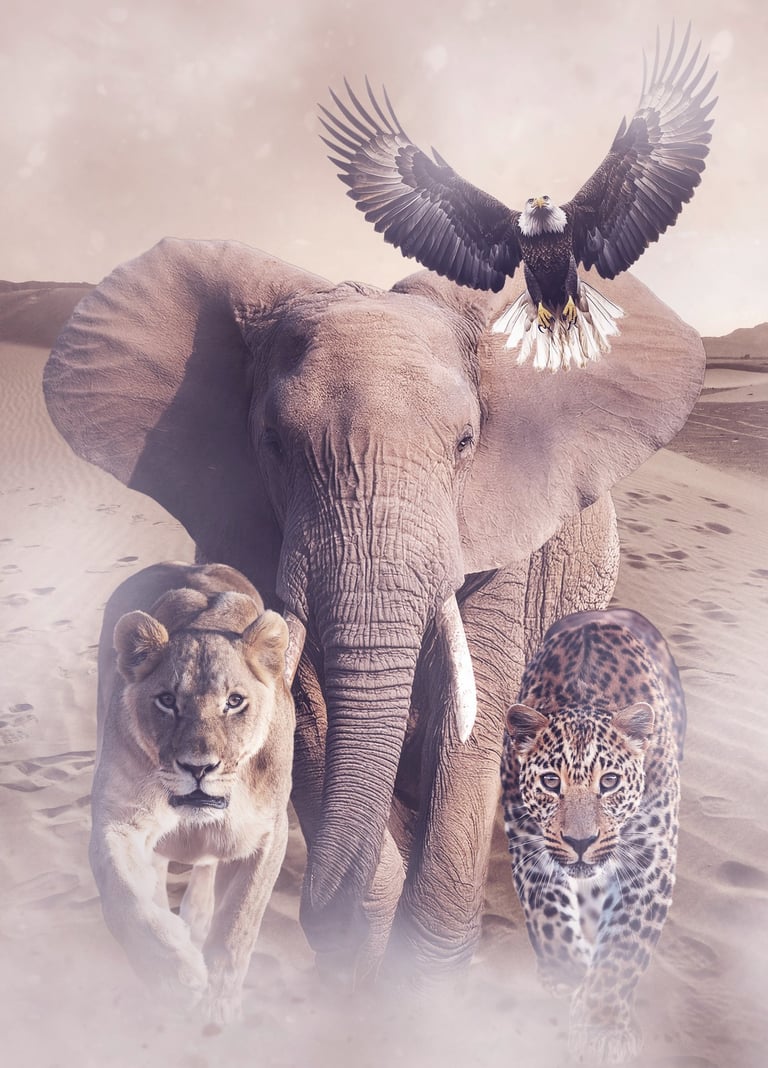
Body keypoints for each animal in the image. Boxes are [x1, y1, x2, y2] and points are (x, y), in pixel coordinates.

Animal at [91, 561, 295, 1024]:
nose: (198, 767)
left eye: (234, 702)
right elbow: (124, 896)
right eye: (167, 700)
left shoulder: (270, 832)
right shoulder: (116, 818)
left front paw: (218, 999)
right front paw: (174, 973)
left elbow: (240, 919)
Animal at [500, 607, 686, 1064]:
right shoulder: (529, 848)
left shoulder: (650, 864)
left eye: (610, 781)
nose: (581, 843)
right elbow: (549, 920)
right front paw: (569, 977)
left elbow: (623, 949)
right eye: (551, 782)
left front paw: (602, 1025)